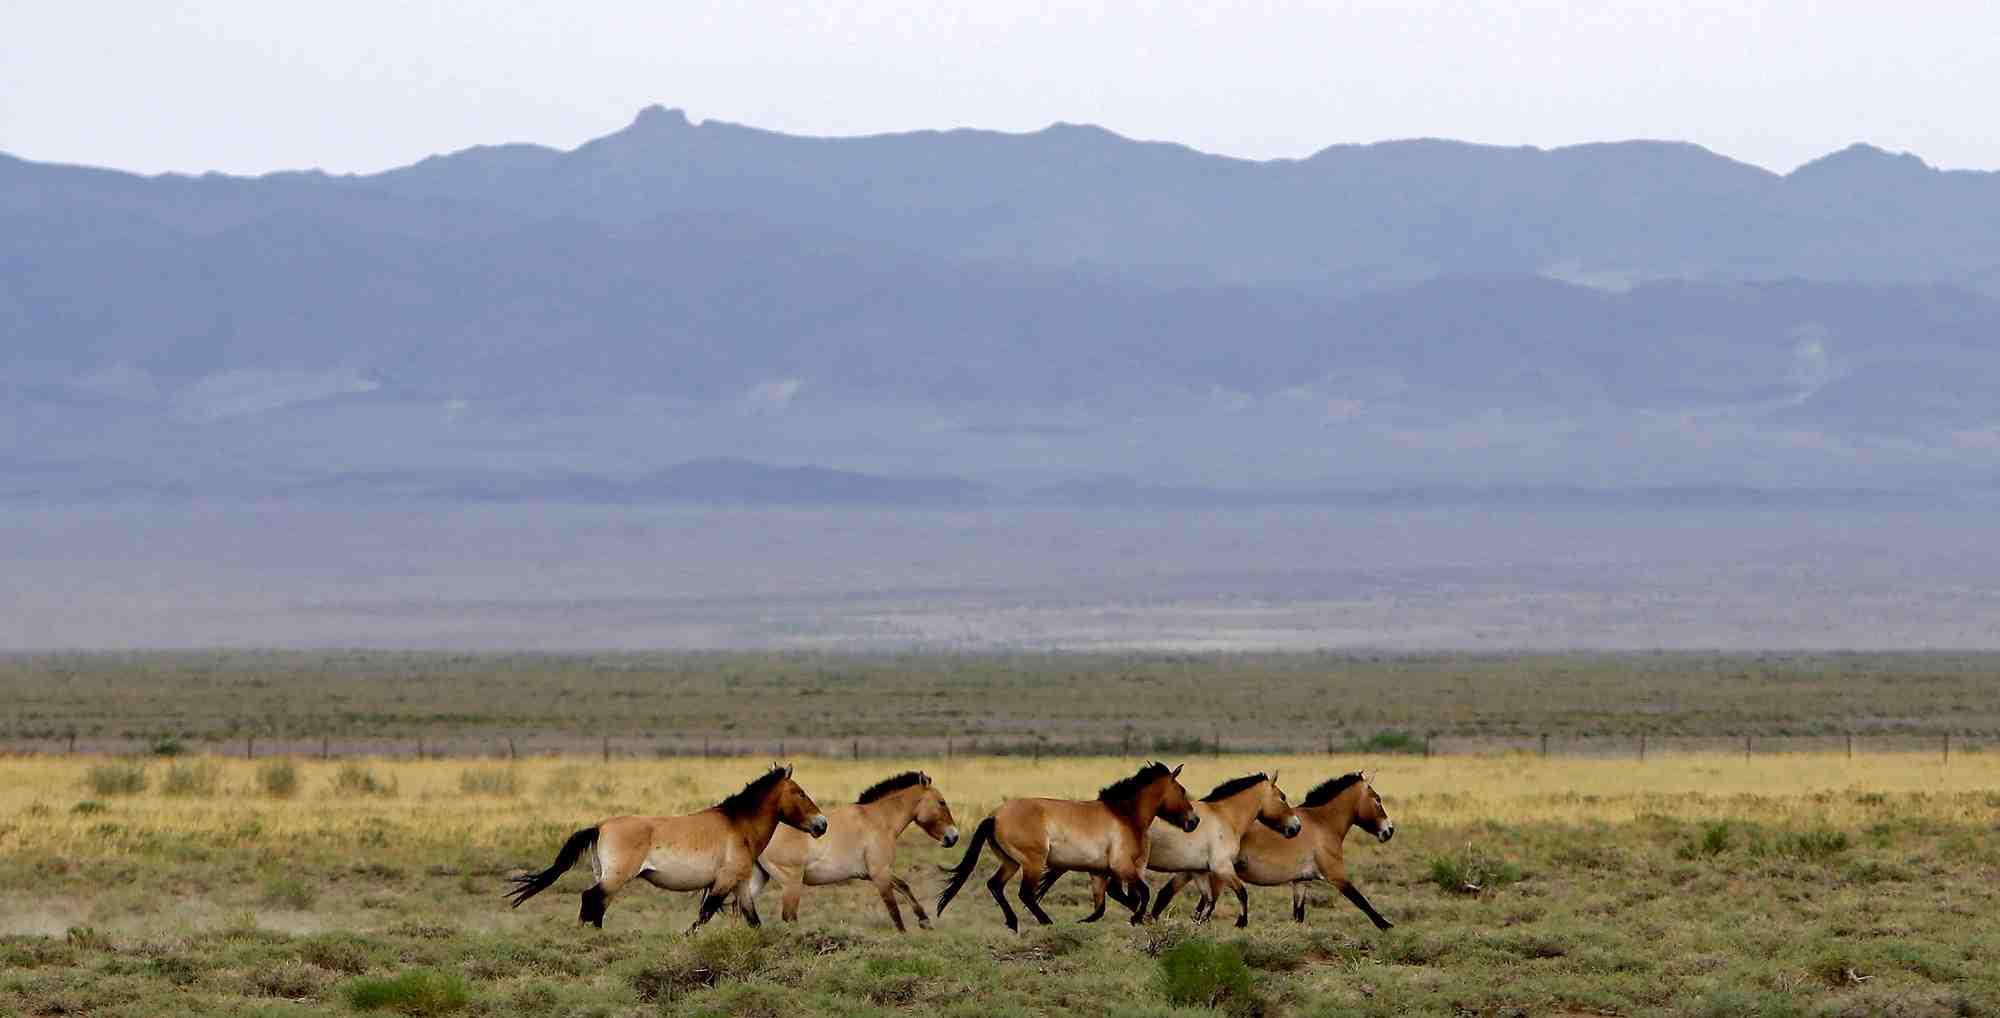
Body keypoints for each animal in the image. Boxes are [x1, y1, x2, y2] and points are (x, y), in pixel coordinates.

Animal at [504, 764, 827, 931]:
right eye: (800, 793)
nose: (821, 824)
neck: (739, 825)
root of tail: (600, 826)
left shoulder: (739, 883)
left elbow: (752, 919)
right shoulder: (723, 882)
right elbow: (705, 914)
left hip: (608, 877)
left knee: (597, 905)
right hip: (616, 878)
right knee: (591, 899)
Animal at [735, 770, 959, 932]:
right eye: (941, 802)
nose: (954, 836)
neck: (878, 820)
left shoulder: (875, 872)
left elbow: (904, 886)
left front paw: (924, 921)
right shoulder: (879, 874)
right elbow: (893, 909)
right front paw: (904, 935)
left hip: (758, 878)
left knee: (739, 908)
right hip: (791, 883)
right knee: (788, 916)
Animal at [935, 761, 1199, 931]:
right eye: (1182, 790)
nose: (1193, 821)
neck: (1125, 814)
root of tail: (995, 816)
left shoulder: (1099, 872)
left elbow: (1105, 904)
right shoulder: (1121, 866)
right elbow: (1141, 893)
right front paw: (1137, 918)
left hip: (1010, 862)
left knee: (995, 885)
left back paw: (1013, 923)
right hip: (1032, 862)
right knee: (1025, 893)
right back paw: (1046, 921)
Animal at [1034, 771, 1302, 927]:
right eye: (1283, 797)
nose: (1296, 827)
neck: (1225, 817)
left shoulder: (1196, 870)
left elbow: (1200, 898)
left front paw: (1197, 921)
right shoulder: (1221, 867)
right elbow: (1240, 893)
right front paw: (1241, 922)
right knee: (1118, 891)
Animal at [1168, 770, 1396, 929]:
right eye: (1377, 800)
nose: (1389, 830)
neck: (1322, 822)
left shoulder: (1301, 882)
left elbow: (1298, 914)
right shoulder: (1336, 876)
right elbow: (1361, 901)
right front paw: (1386, 925)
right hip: (1218, 877)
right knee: (1204, 908)